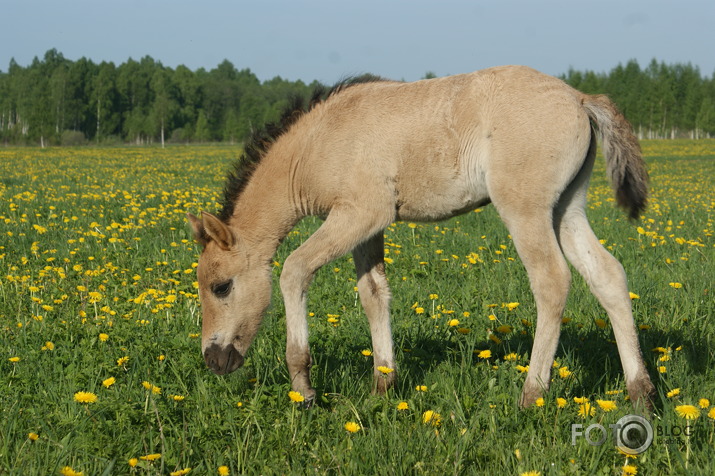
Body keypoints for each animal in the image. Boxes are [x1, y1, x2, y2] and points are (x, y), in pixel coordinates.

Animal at [189, 65, 656, 410]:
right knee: (608, 276)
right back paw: (642, 394)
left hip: (525, 210)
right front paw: (383, 384)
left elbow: (294, 270)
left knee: (552, 282)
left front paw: (304, 390)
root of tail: (580, 98)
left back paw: (531, 394)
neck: (317, 143)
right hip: (566, 209)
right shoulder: (368, 227)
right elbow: (373, 294)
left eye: (221, 286)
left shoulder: (358, 214)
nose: (213, 360)